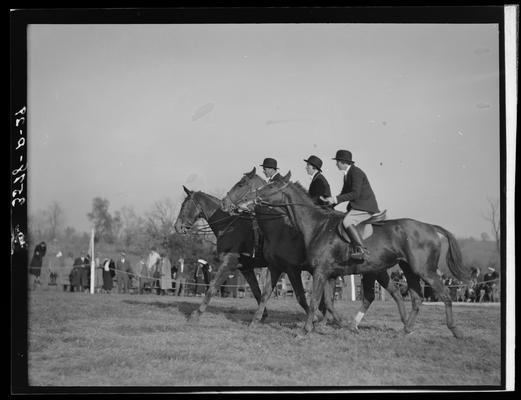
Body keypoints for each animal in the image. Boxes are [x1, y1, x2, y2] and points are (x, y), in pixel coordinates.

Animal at [221, 166, 408, 332]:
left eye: (241, 184)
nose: (224, 203)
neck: (279, 230)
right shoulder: (276, 267)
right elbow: (265, 294)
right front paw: (255, 321)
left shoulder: (293, 269)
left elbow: (303, 297)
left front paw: (317, 320)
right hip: (376, 270)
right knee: (390, 293)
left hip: (372, 271)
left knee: (375, 295)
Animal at [236, 172, 472, 338]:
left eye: (271, 186)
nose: (245, 202)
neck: (316, 226)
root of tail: (430, 227)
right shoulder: (325, 273)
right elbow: (322, 301)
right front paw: (325, 324)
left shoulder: (316, 271)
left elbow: (313, 300)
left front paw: (305, 330)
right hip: (405, 270)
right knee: (413, 297)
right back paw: (404, 329)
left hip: (424, 270)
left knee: (444, 295)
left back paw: (455, 330)